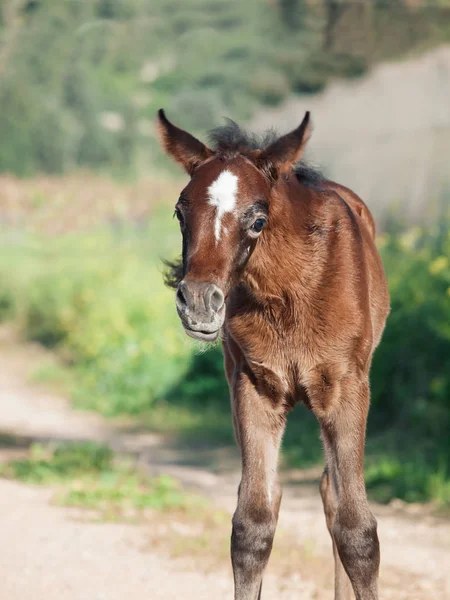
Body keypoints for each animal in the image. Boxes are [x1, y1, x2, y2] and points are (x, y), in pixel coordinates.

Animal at [158, 108, 390, 600]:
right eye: (180, 211)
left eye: (258, 219)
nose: (199, 302)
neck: (290, 292)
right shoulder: (254, 387)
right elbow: (252, 526)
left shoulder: (347, 389)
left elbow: (358, 531)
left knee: (334, 495)